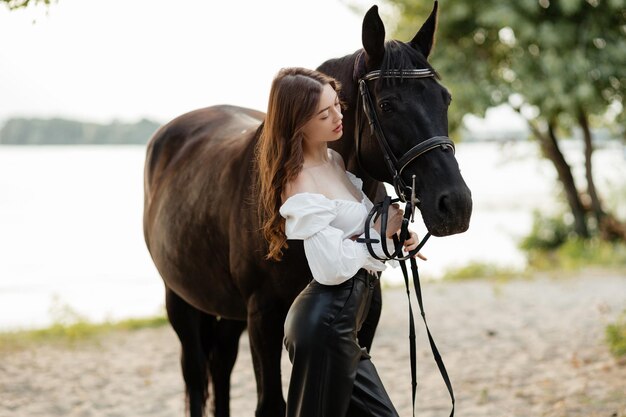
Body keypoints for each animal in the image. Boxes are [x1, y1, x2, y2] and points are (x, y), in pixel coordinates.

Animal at [144, 3, 468, 416]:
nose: (456, 204)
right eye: (387, 105)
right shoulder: (263, 315)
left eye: (445, 98)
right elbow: (270, 403)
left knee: (220, 364)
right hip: (181, 302)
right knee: (197, 374)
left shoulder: (366, 319)